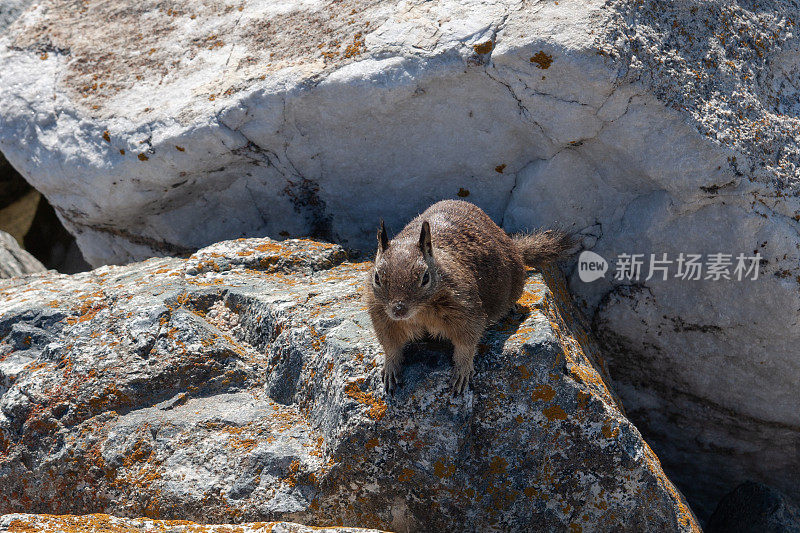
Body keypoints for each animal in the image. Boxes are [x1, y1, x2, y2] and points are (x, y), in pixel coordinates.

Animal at [362, 200, 576, 394]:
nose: (399, 310)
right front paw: (390, 368)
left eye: (425, 277)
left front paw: (462, 372)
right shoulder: (383, 318)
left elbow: (467, 342)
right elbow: (391, 346)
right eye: (377, 277)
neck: (420, 312)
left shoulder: (465, 309)